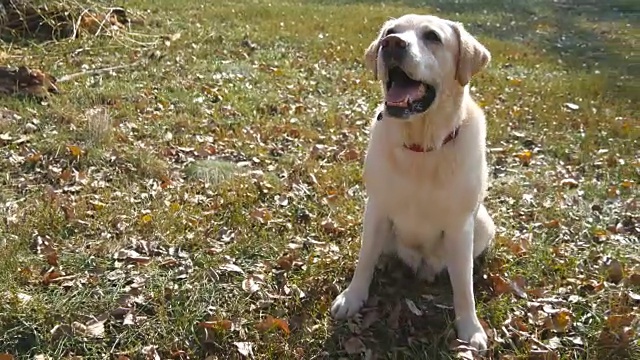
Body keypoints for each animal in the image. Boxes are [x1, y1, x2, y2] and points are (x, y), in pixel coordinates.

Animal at [330, 14, 496, 352]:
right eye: (391, 32)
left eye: (432, 36)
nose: (391, 44)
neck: (421, 146)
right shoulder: (377, 208)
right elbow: (364, 258)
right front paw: (353, 297)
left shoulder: (460, 226)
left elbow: (464, 285)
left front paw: (470, 326)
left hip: (483, 222)